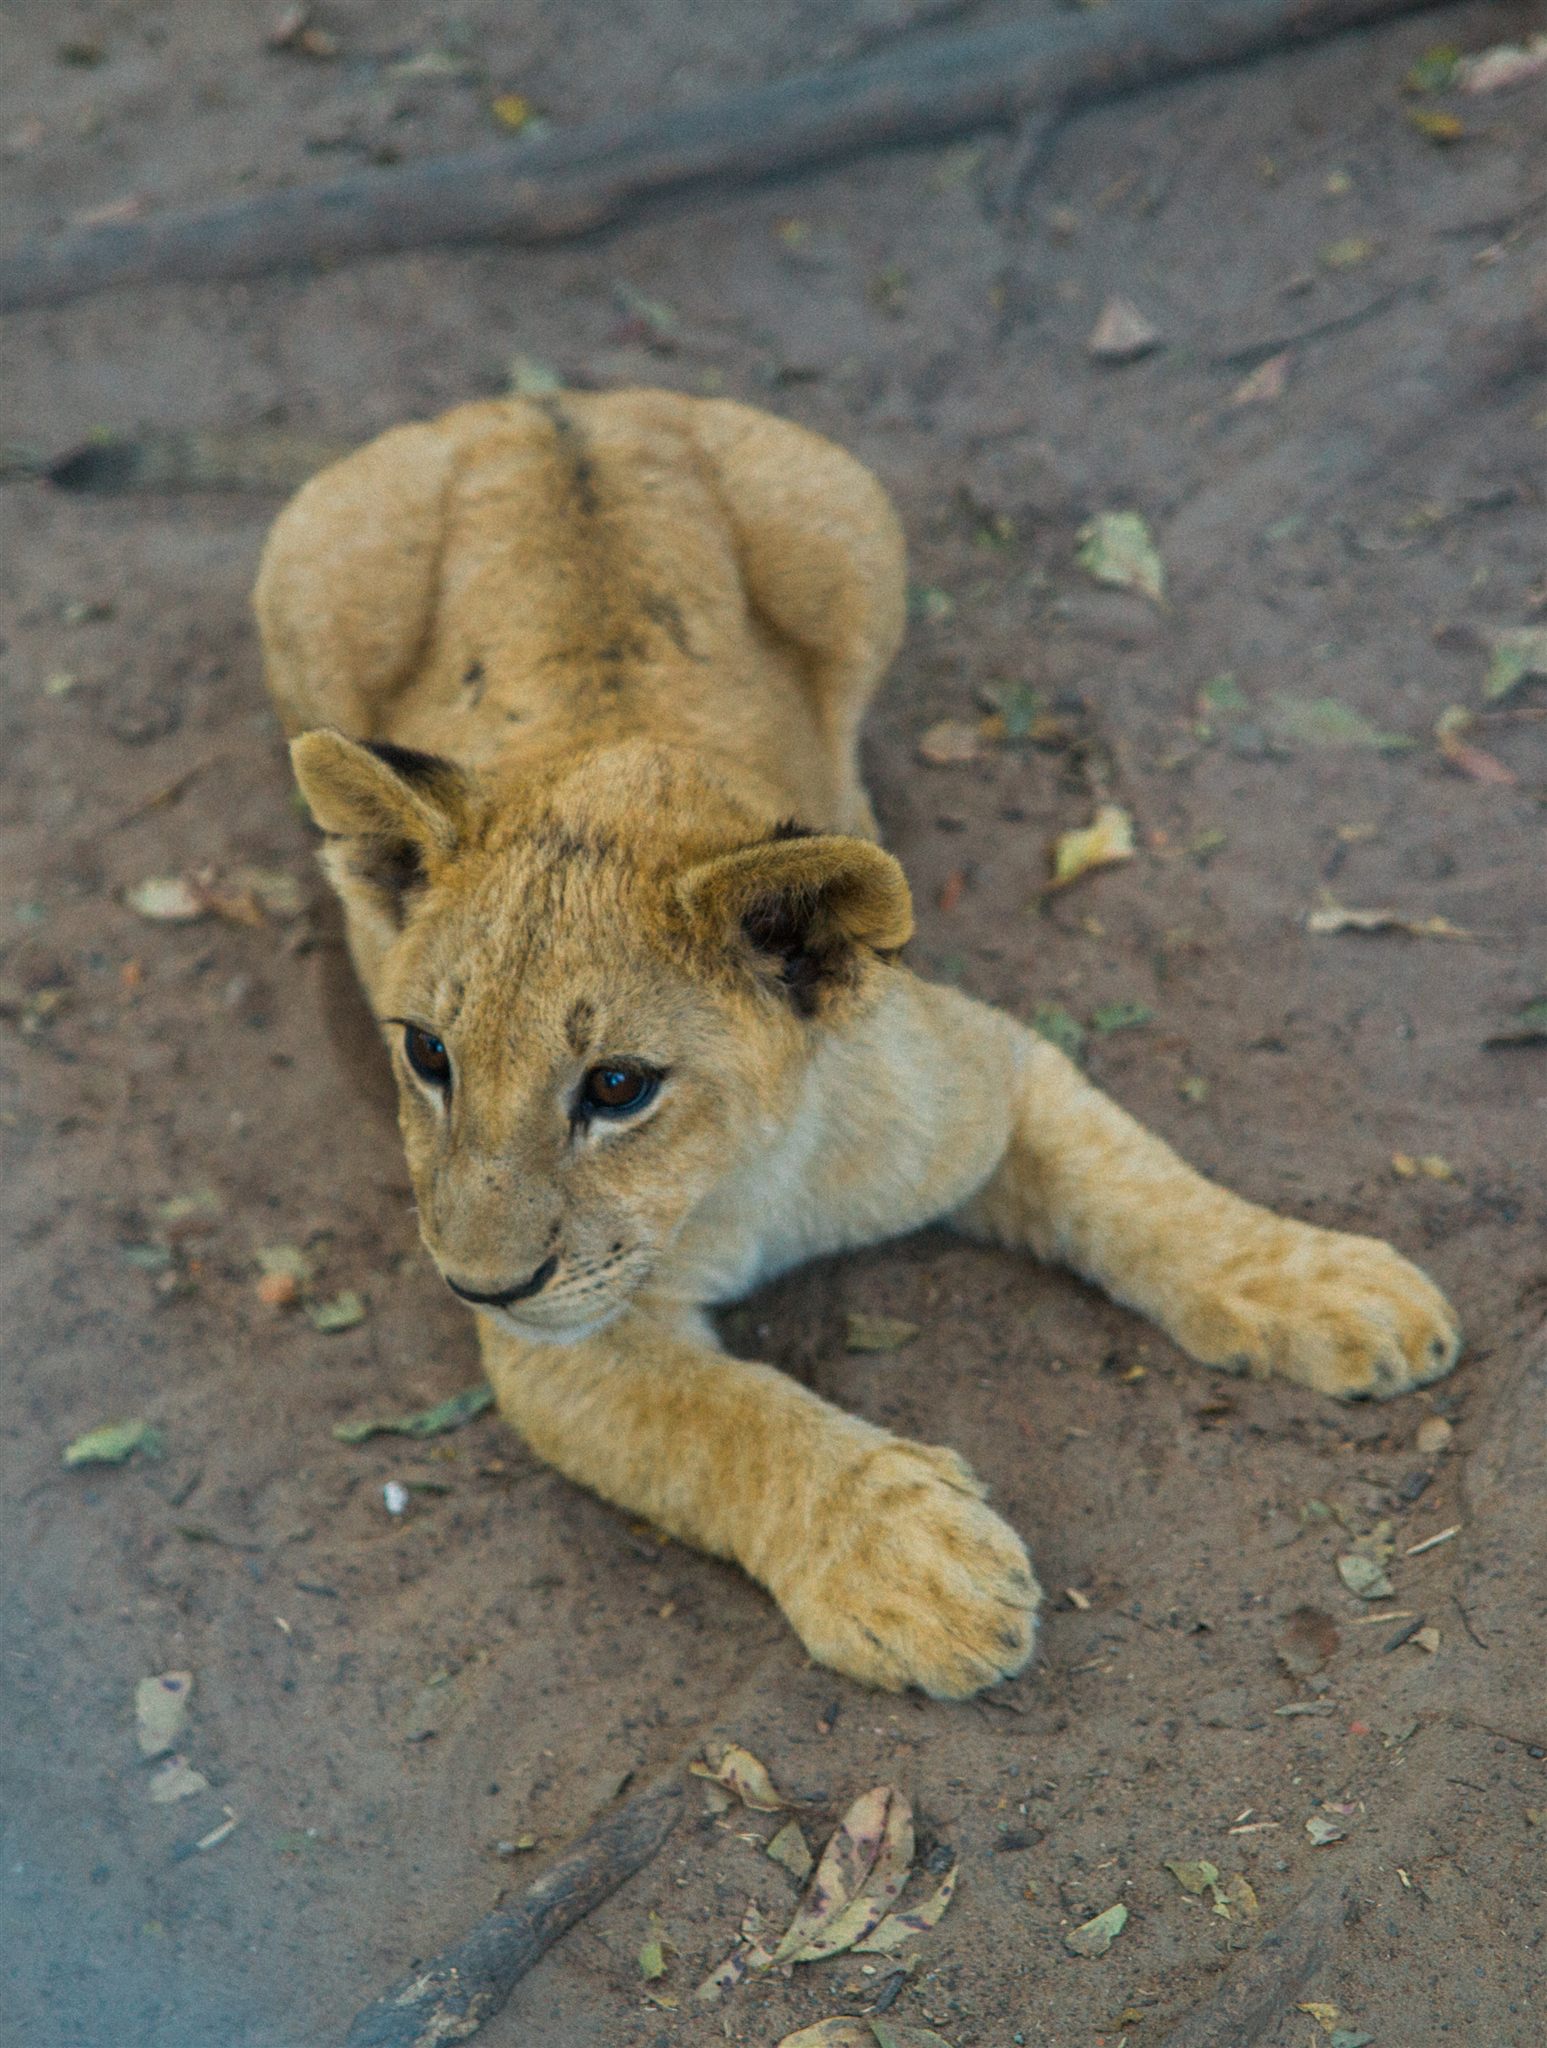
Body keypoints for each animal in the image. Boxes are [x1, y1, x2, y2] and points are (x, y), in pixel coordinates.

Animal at [254, 389, 1460, 1699]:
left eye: (617, 1085)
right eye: (429, 1056)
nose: (476, 1283)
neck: (740, 1177)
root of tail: (545, 400)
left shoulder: (985, 1071)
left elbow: (1141, 1186)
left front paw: (1333, 1285)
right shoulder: (554, 1345)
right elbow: (727, 1419)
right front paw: (911, 1562)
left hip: (852, 534)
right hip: (304, 573)